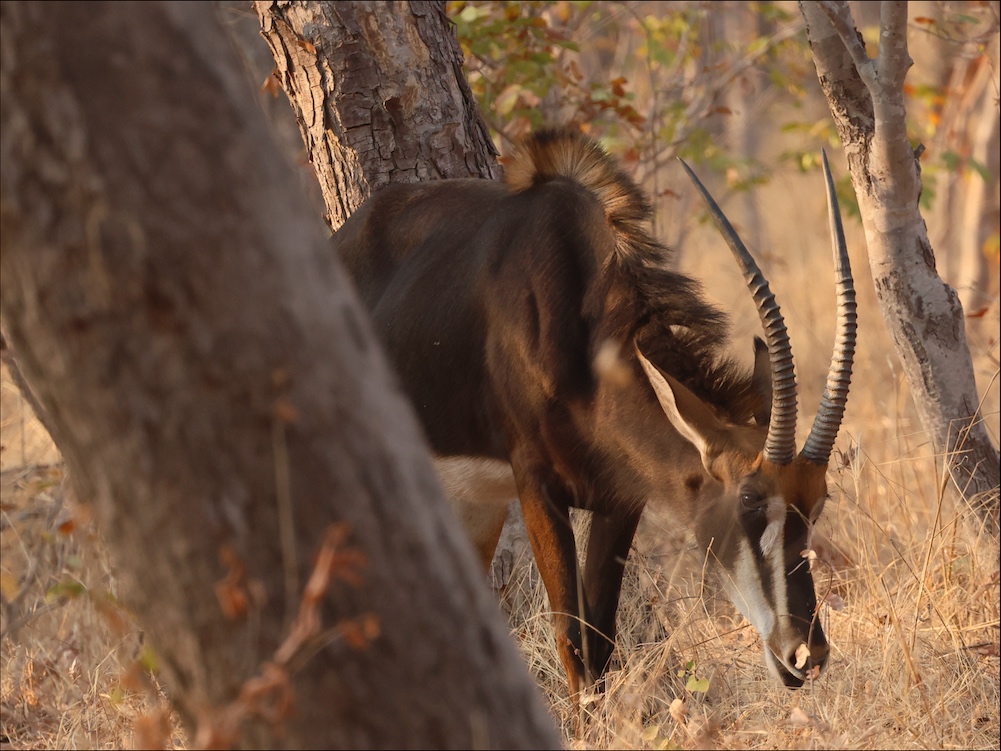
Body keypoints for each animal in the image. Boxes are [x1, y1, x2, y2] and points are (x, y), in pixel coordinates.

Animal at [332, 129, 855, 706]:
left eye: (819, 504)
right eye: (749, 499)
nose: (806, 654)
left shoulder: (621, 499)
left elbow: (600, 635)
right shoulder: (537, 486)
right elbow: (570, 635)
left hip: (473, 504)